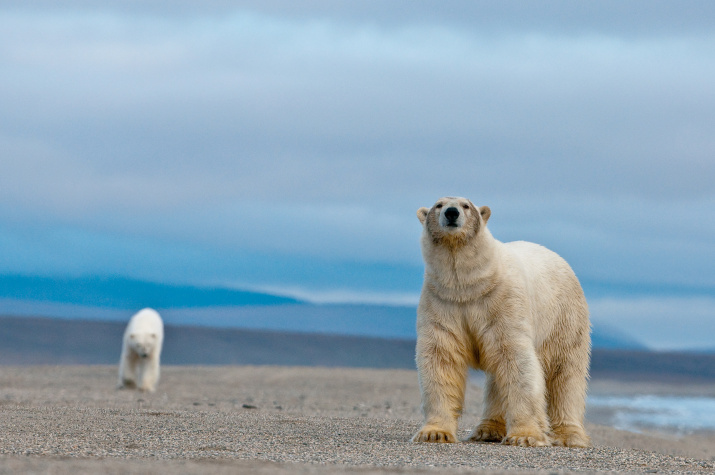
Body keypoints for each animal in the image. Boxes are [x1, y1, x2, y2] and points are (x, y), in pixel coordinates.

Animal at [412, 198, 592, 450]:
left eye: (466, 205)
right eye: (439, 204)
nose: (451, 212)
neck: (468, 285)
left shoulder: (503, 301)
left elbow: (517, 361)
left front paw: (525, 436)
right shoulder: (442, 302)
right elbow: (441, 357)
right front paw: (434, 433)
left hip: (564, 316)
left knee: (565, 370)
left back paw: (570, 435)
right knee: (497, 375)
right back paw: (487, 430)